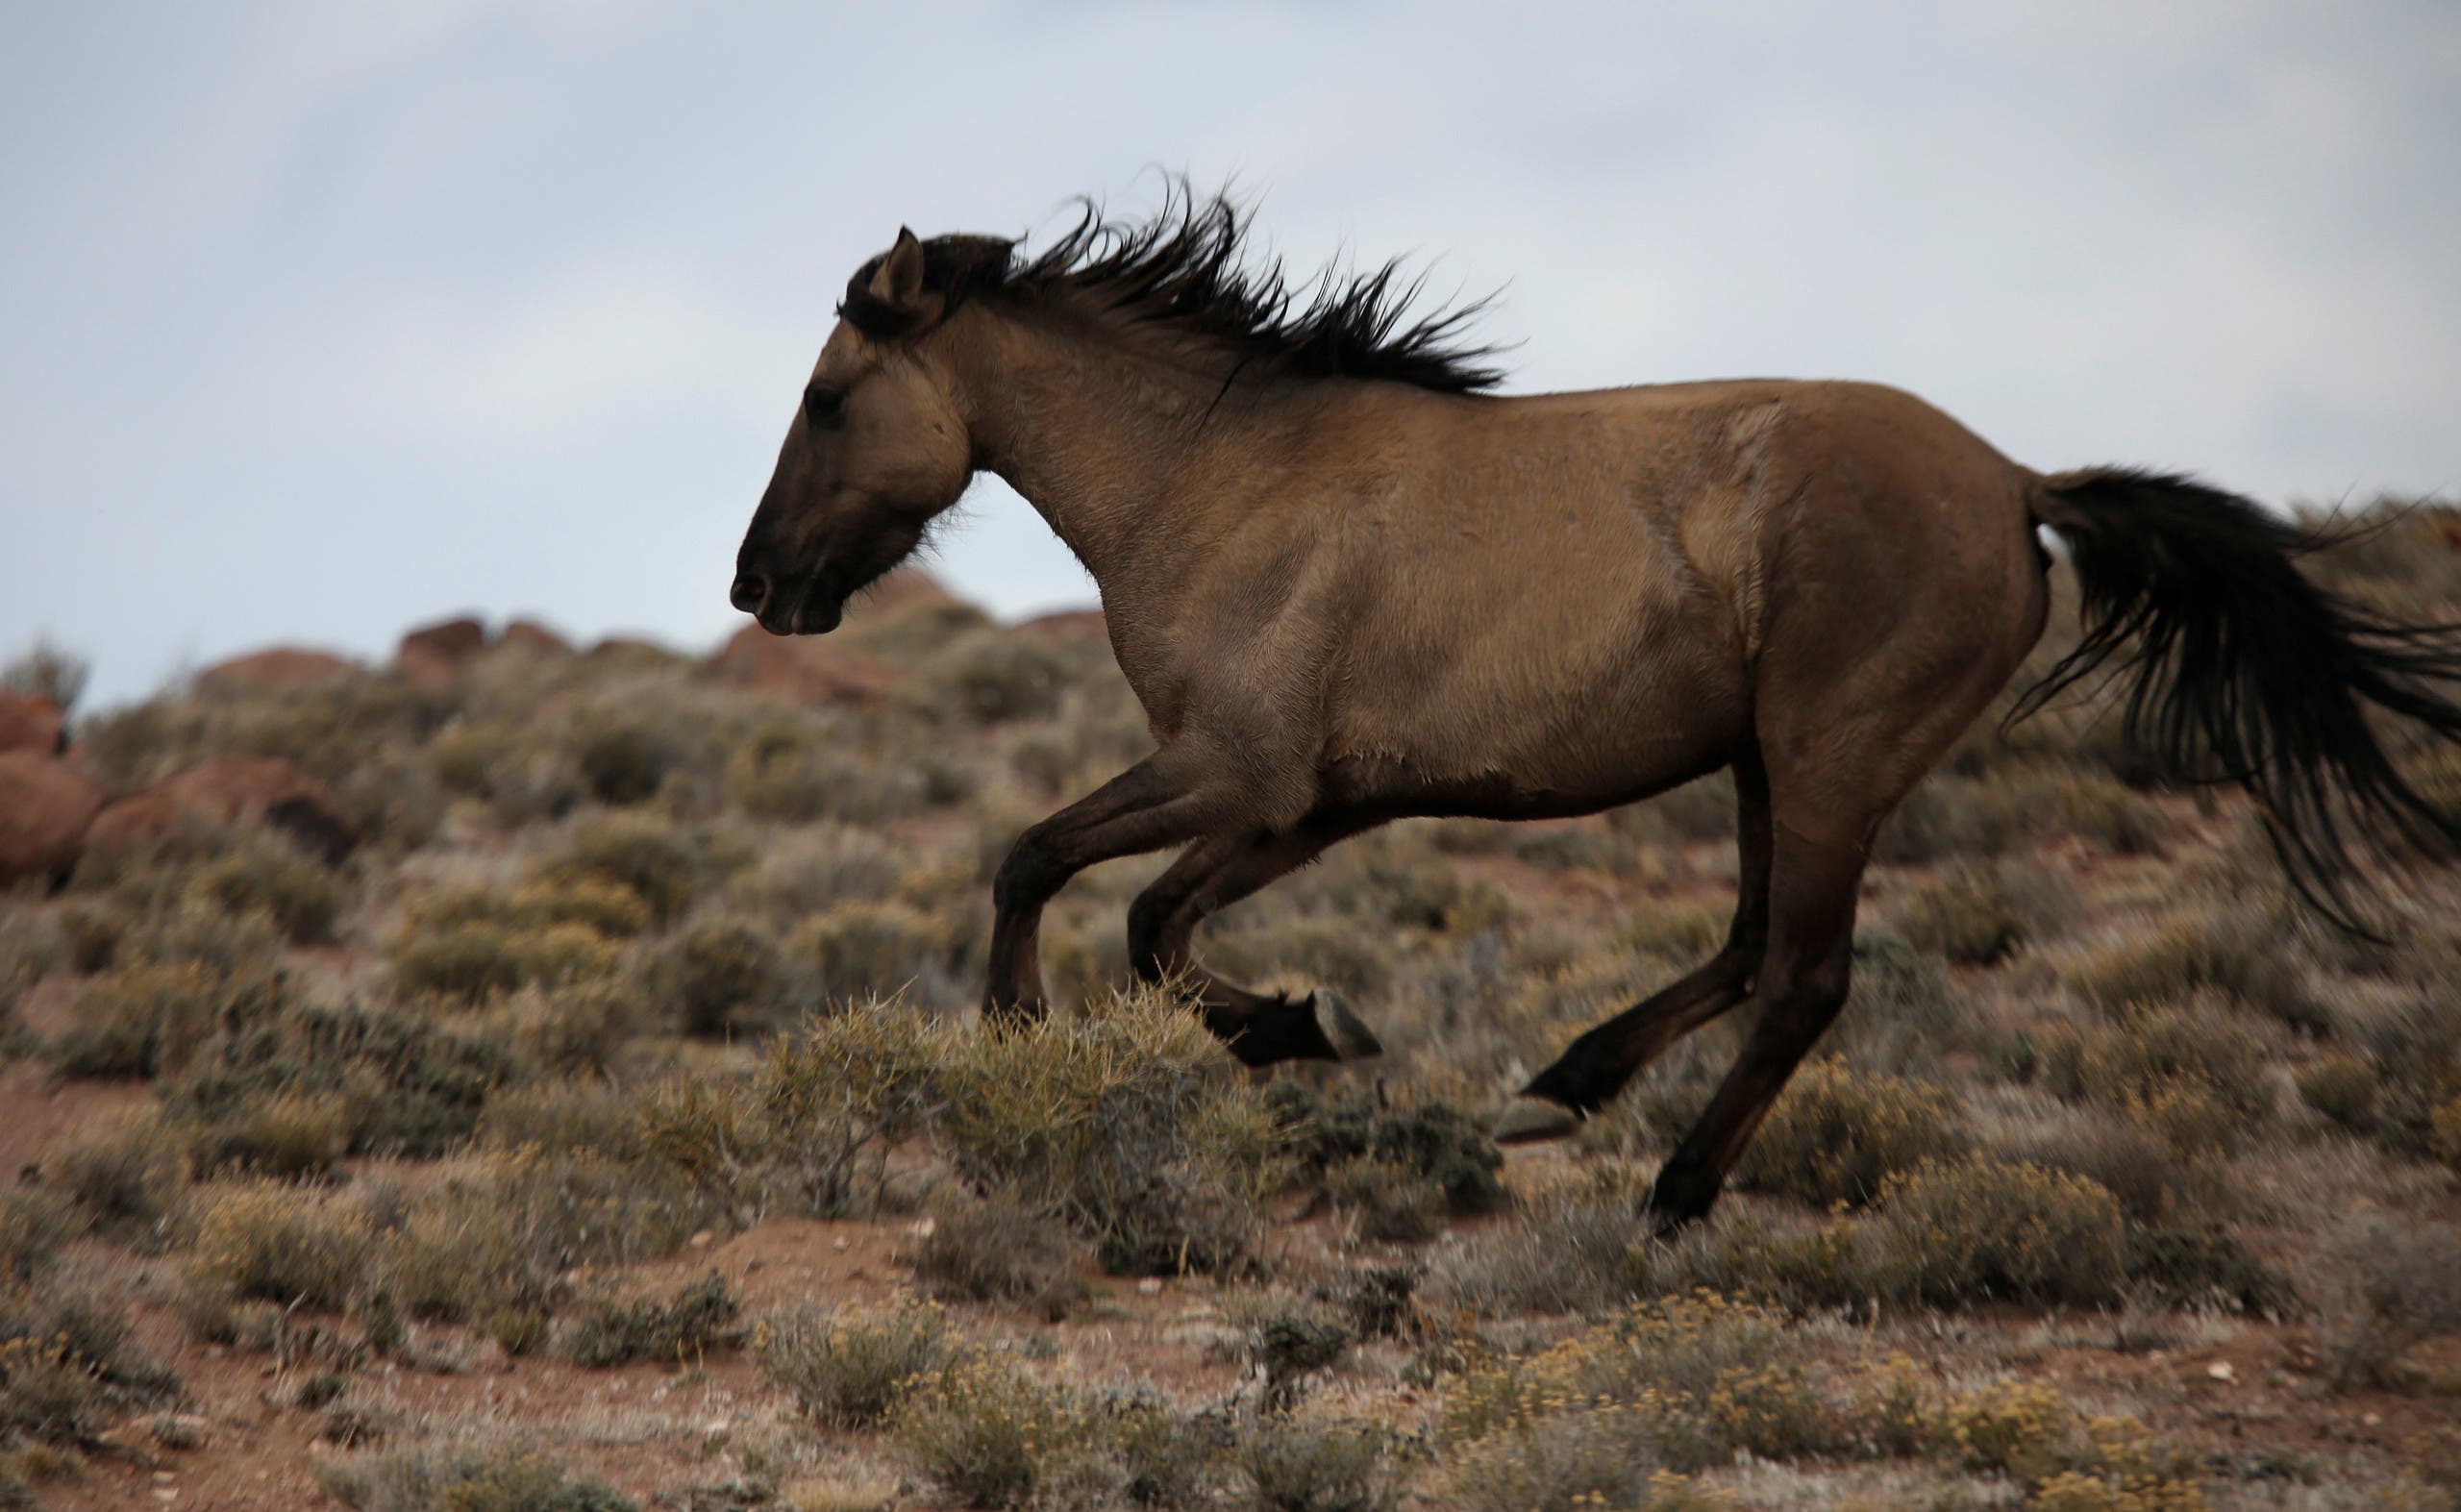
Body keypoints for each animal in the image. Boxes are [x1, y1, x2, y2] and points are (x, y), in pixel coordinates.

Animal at [728, 189, 2461, 1230]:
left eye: (827, 396)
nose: (758, 584)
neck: (1214, 477)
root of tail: (2020, 485)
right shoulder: (1309, 806)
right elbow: (1126, 906)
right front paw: (1287, 1023)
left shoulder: (1237, 773)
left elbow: (1079, 883)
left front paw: (1195, 1028)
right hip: (1768, 762)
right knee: (1751, 950)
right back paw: (1553, 1097)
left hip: (1830, 758)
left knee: (1804, 976)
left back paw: (1672, 1192)